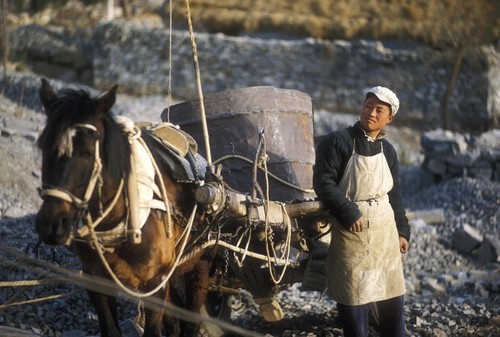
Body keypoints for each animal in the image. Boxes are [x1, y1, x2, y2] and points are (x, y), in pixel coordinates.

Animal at [35, 79, 215, 336]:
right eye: (43, 146)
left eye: (87, 152)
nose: (51, 223)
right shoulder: (95, 279)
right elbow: (111, 329)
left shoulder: (154, 285)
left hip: (200, 263)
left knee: (190, 319)